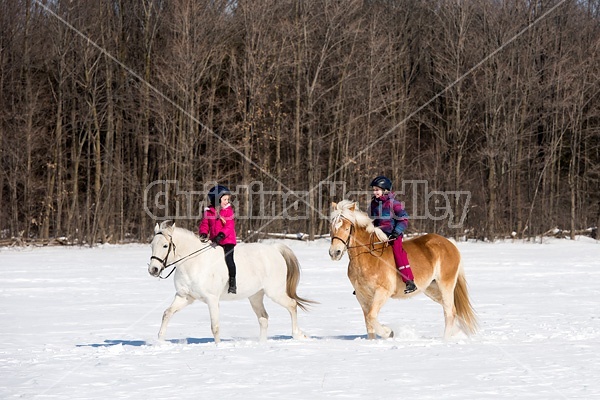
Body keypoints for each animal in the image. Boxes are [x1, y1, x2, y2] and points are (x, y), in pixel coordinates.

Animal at [148, 222, 314, 344]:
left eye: (165, 246)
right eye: (152, 245)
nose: (153, 269)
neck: (194, 263)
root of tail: (274, 249)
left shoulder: (212, 299)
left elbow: (215, 326)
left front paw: (218, 347)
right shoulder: (185, 297)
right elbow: (167, 313)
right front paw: (160, 342)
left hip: (275, 292)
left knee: (292, 305)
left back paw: (297, 335)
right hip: (255, 296)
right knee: (263, 318)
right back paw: (262, 343)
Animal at [328, 202, 478, 340]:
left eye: (347, 227)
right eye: (332, 227)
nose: (335, 252)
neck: (369, 257)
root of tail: (451, 245)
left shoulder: (382, 292)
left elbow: (371, 317)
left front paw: (388, 332)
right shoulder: (362, 296)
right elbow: (368, 322)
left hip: (445, 285)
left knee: (449, 312)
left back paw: (445, 340)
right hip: (432, 289)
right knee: (452, 309)